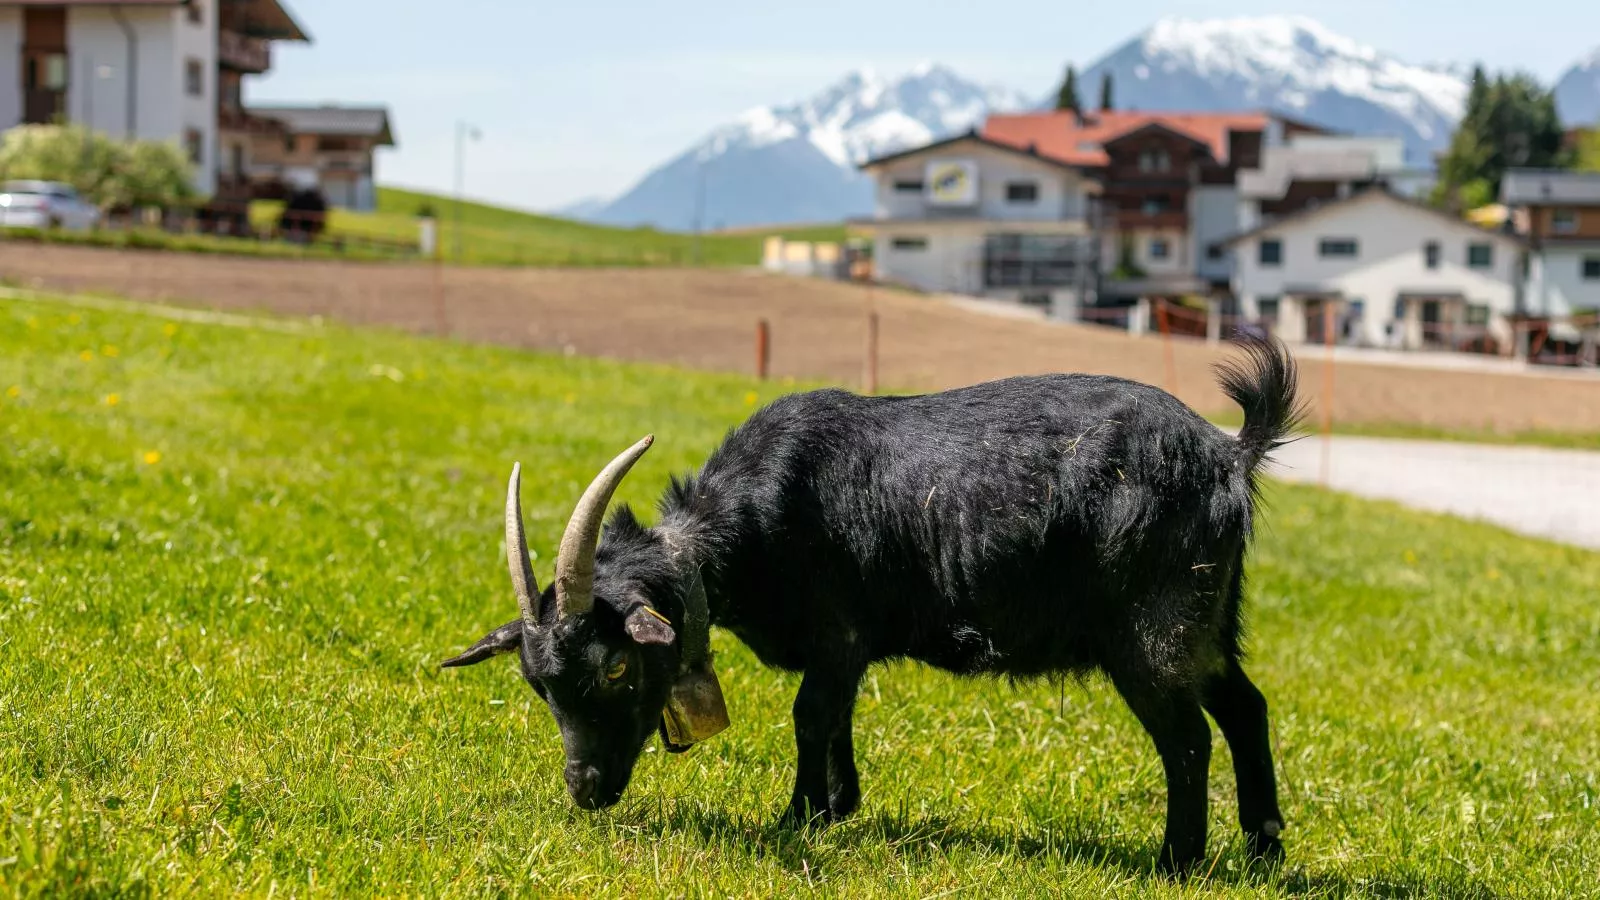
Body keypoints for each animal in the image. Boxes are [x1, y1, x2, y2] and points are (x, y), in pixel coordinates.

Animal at [441, 331, 1299, 871]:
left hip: (1152, 630)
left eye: (616, 668)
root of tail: (1230, 454)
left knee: (1188, 738)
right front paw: (837, 807)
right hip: (1208, 619)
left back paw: (1176, 861)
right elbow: (837, 718)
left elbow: (809, 716)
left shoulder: (836, 634)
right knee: (1245, 707)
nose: (586, 791)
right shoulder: (845, 648)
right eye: (536, 685)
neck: (750, 524)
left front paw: (796, 820)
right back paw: (1263, 849)